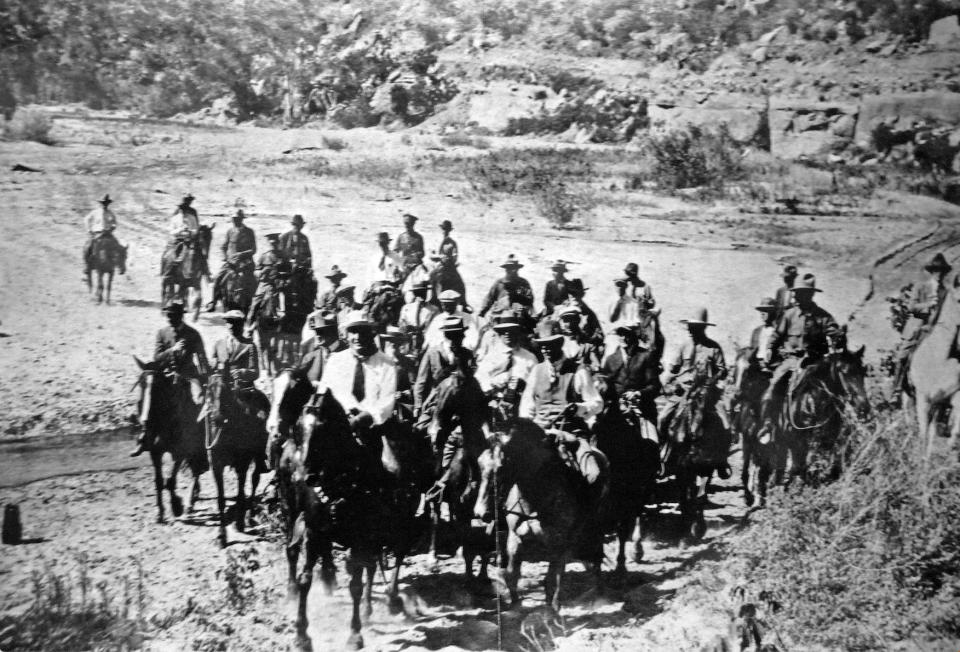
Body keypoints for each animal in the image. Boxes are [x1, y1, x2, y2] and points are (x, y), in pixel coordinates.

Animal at [131, 356, 208, 524]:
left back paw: (189, 502)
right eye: (141, 384)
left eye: (158, 386)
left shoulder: (180, 453)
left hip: (196, 447)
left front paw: (176, 506)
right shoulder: (155, 453)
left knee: (196, 470)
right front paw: (160, 513)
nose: (145, 421)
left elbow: (170, 480)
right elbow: (159, 481)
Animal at [203, 372, 270, 544]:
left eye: (225, 393)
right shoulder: (216, 466)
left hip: (257, 455)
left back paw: (249, 517)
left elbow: (240, 494)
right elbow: (221, 499)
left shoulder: (242, 464)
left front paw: (239, 524)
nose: (217, 417)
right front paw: (221, 536)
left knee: (254, 479)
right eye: (209, 393)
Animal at [280, 390, 426, 648]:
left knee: (397, 554)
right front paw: (301, 636)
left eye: (323, 429)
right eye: (297, 429)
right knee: (371, 565)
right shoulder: (315, 532)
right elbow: (305, 579)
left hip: (401, 522)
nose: (301, 477)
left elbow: (356, 585)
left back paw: (392, 600)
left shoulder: (361, 538)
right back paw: (368, 609)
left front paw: (355, 635)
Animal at [592, 380, 660, 572]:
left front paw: (620, 566)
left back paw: (637, 550)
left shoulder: (626, 495)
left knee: (636, 514)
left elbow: (622, 529)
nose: (593, 425)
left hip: (641, 489)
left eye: (608, 400)